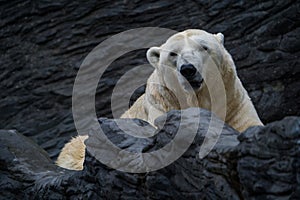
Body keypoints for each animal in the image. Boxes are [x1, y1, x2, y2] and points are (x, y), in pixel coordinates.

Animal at [56, 29, 262, 170]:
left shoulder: (234, 102)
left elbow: (248, 124)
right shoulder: (161, 104)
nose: (188, 69)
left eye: (204, 47)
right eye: (172, 54)